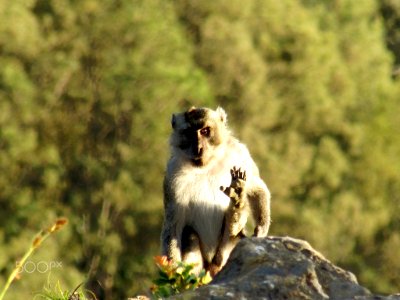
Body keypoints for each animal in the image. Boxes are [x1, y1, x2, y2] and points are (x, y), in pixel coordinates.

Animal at [160, 105, 272, 274]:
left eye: (205, 131)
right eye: (189, 132)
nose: (198, 148)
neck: (207, 166)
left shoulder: (240, 153)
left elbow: (256, 189)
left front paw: (262, 227)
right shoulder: (172, 173)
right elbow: (173, 225)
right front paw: (174, 271)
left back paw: (236, 210)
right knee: (188, 234)